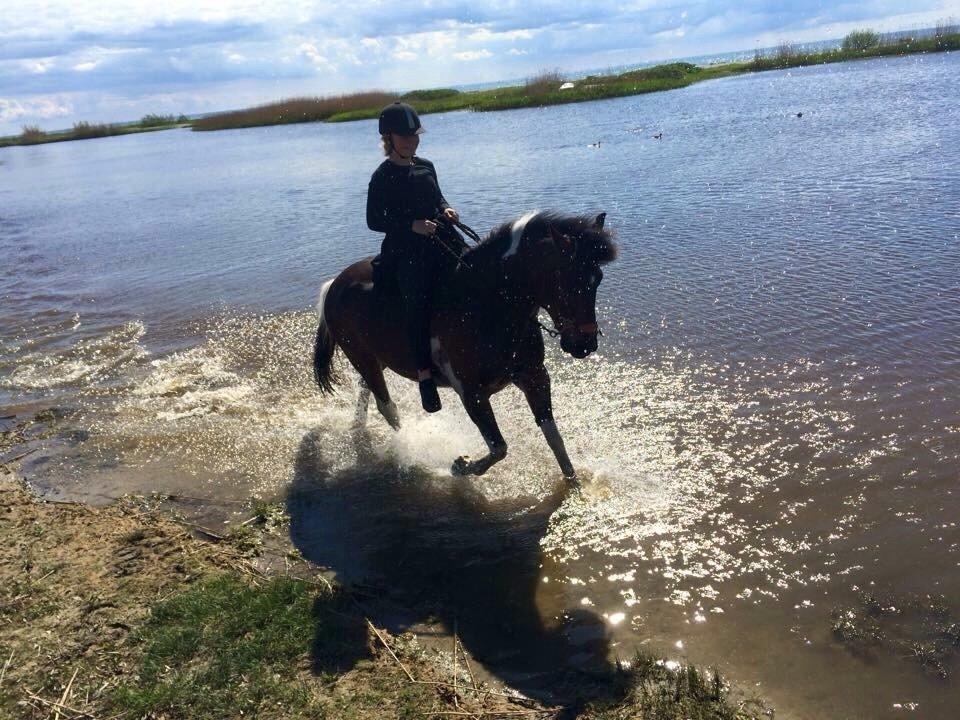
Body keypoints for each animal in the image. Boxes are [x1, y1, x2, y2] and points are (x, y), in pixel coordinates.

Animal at [312, 210, 617, 482]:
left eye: (598, 279)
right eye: (570, 281)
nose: (585, 345)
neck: (487, 304)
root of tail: (336, 284)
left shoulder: (535, 377)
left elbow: (554, 437)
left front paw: (575, 485)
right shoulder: (471, 392)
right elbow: (499, 448)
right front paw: (460, 466)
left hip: (378, 358)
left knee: (367, 389)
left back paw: (359, 426)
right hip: (360, 355)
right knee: (387, 406)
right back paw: (408, 446)